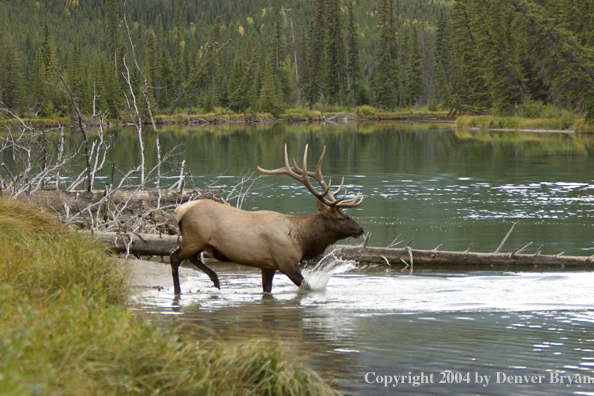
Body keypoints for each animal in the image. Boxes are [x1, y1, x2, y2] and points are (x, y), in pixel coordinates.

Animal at [169, 145, 364, 294]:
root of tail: (179, 209)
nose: (360, 229)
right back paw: (180, 290)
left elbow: (267, 290)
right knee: (175, 257)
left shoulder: (268, 266)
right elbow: (306, 286)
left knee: (193, 258)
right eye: (340, 218)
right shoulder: (286, 262)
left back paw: (216, 281)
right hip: (194, 238)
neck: (302, 239)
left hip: (199, 242)